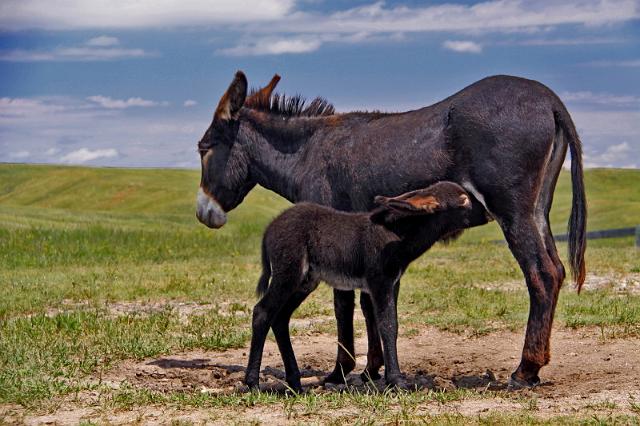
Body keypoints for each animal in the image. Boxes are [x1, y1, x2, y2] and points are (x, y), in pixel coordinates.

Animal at [248, 181, 472, 392]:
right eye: (464, 200)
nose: (479, 212)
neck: (398, 235)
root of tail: (270, 227)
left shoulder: (392, 283)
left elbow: (389, 325)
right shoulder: (380, 283)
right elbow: (388, 326)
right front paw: (396, 381)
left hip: (305, 281)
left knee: (280, 318)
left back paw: (295, 383)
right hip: (288, 274)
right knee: (262, 312)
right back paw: (253, 383)